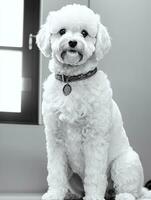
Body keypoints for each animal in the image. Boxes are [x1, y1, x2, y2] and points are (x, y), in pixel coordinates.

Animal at [36, 3, 151, 200]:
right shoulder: (55, 139)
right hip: (73, 175)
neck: (72, 81)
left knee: (130, 191)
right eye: (62, 31)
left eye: (84, 33)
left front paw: (93, 197)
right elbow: (56, 173)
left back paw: (123, 195)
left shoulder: (95, 138)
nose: (72, 42)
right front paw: (54, 194)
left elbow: (95, 175)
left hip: (125, 163)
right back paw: (71, 195)